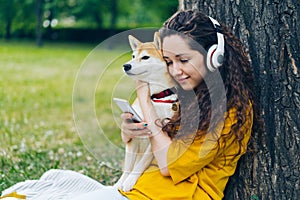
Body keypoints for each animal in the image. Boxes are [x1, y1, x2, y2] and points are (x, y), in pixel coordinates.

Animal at [114, 32, 176, 191]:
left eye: (145, 57)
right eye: (133, 56)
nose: (126, 65)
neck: (154, 97)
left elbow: (139, 165)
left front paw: (129, 181)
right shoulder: (133, 136)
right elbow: (128, 166)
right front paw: (120, 182)